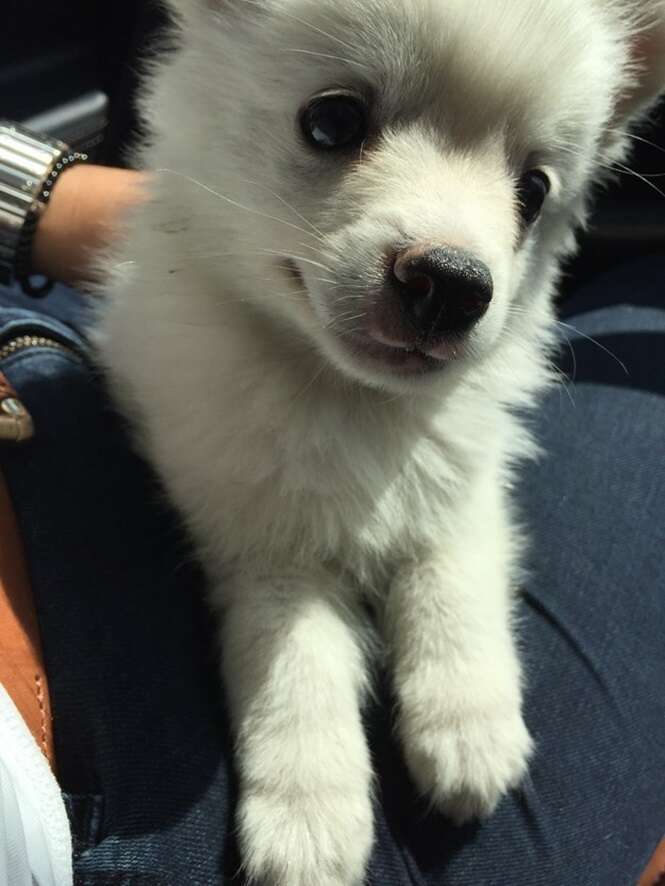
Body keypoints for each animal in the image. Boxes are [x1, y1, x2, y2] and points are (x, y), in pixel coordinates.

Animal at [94, 3, 664, 884]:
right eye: (332, 122)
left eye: (532, 191)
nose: (454, 284)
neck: (353, 402)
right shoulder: (263, 545)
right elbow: (294, 661)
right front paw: (308, 811)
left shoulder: (464, 484)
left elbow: (452, 578)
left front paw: (466, 721)